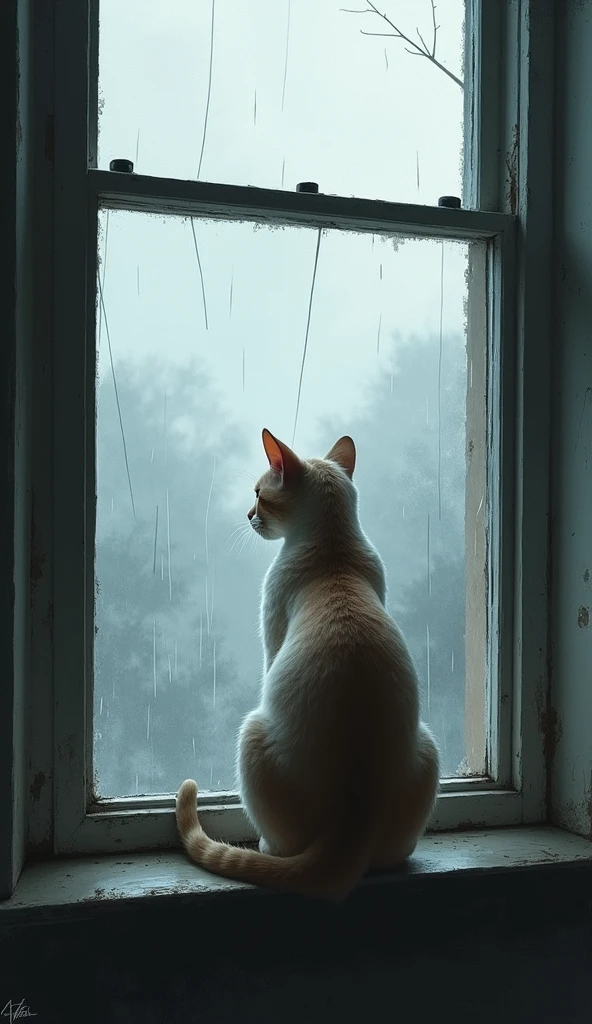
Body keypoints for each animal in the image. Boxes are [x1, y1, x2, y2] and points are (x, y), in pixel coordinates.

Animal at [175, 428, 438, 901]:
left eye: (258, 495)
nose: (248, 515)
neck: (335, 552)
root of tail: (355, 813)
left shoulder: (272, 632)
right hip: (428, 746)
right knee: (389, 858)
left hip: (251, 731)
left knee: (282, 848)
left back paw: (265, 845)